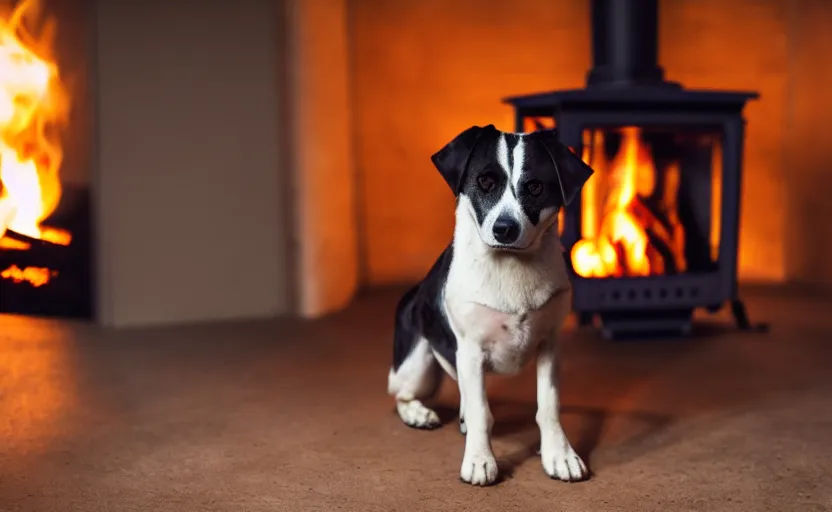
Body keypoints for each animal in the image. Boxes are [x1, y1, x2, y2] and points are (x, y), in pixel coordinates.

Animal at [386, 126, 596, 486]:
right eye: (485, 182)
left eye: (535, 187)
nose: (505, 229)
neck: (511, 266)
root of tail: (412, 292)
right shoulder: (470, 350)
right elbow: (481, 411)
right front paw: (480, 460)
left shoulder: (550, 346)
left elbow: (548, 405)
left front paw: (559, 454)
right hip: (419, 363)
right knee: (401, 393)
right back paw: (418, 412)